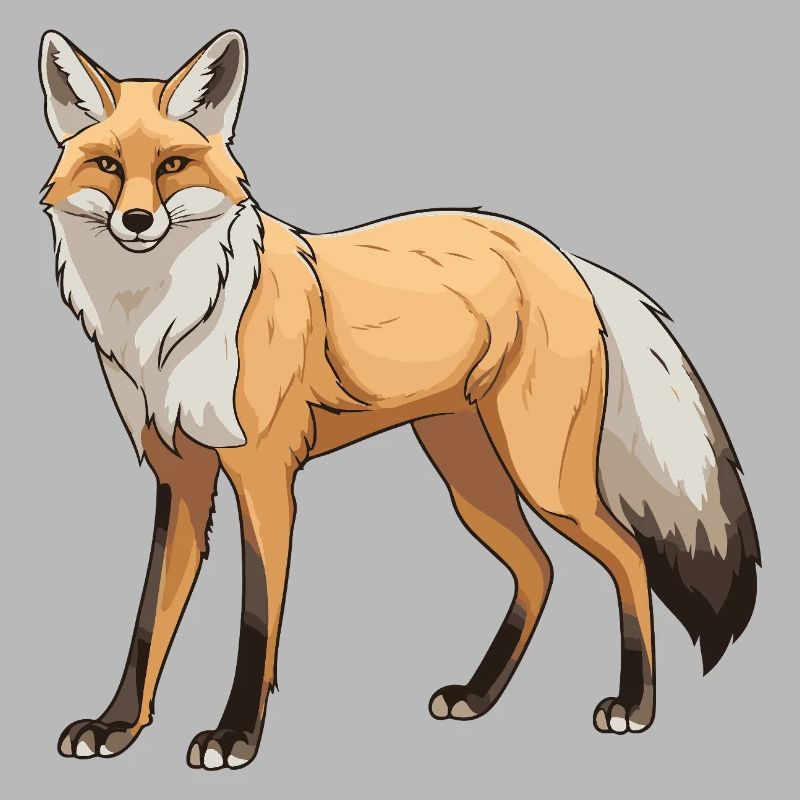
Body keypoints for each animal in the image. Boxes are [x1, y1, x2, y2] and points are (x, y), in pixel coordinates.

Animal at [40, 29, 760, 771]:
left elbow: (255, 620)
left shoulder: (264, 478)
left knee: (628, 557)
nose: (136, 220)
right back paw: (478, 696)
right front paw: (118, 726)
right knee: (539, 569)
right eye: (107, 166)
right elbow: (148, 620)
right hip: (469, 477)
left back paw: (635, 706)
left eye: (174, 165)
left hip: (545, 479)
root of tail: (560, 252)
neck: (169, 326)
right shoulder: (179, 476)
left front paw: (235, 736)